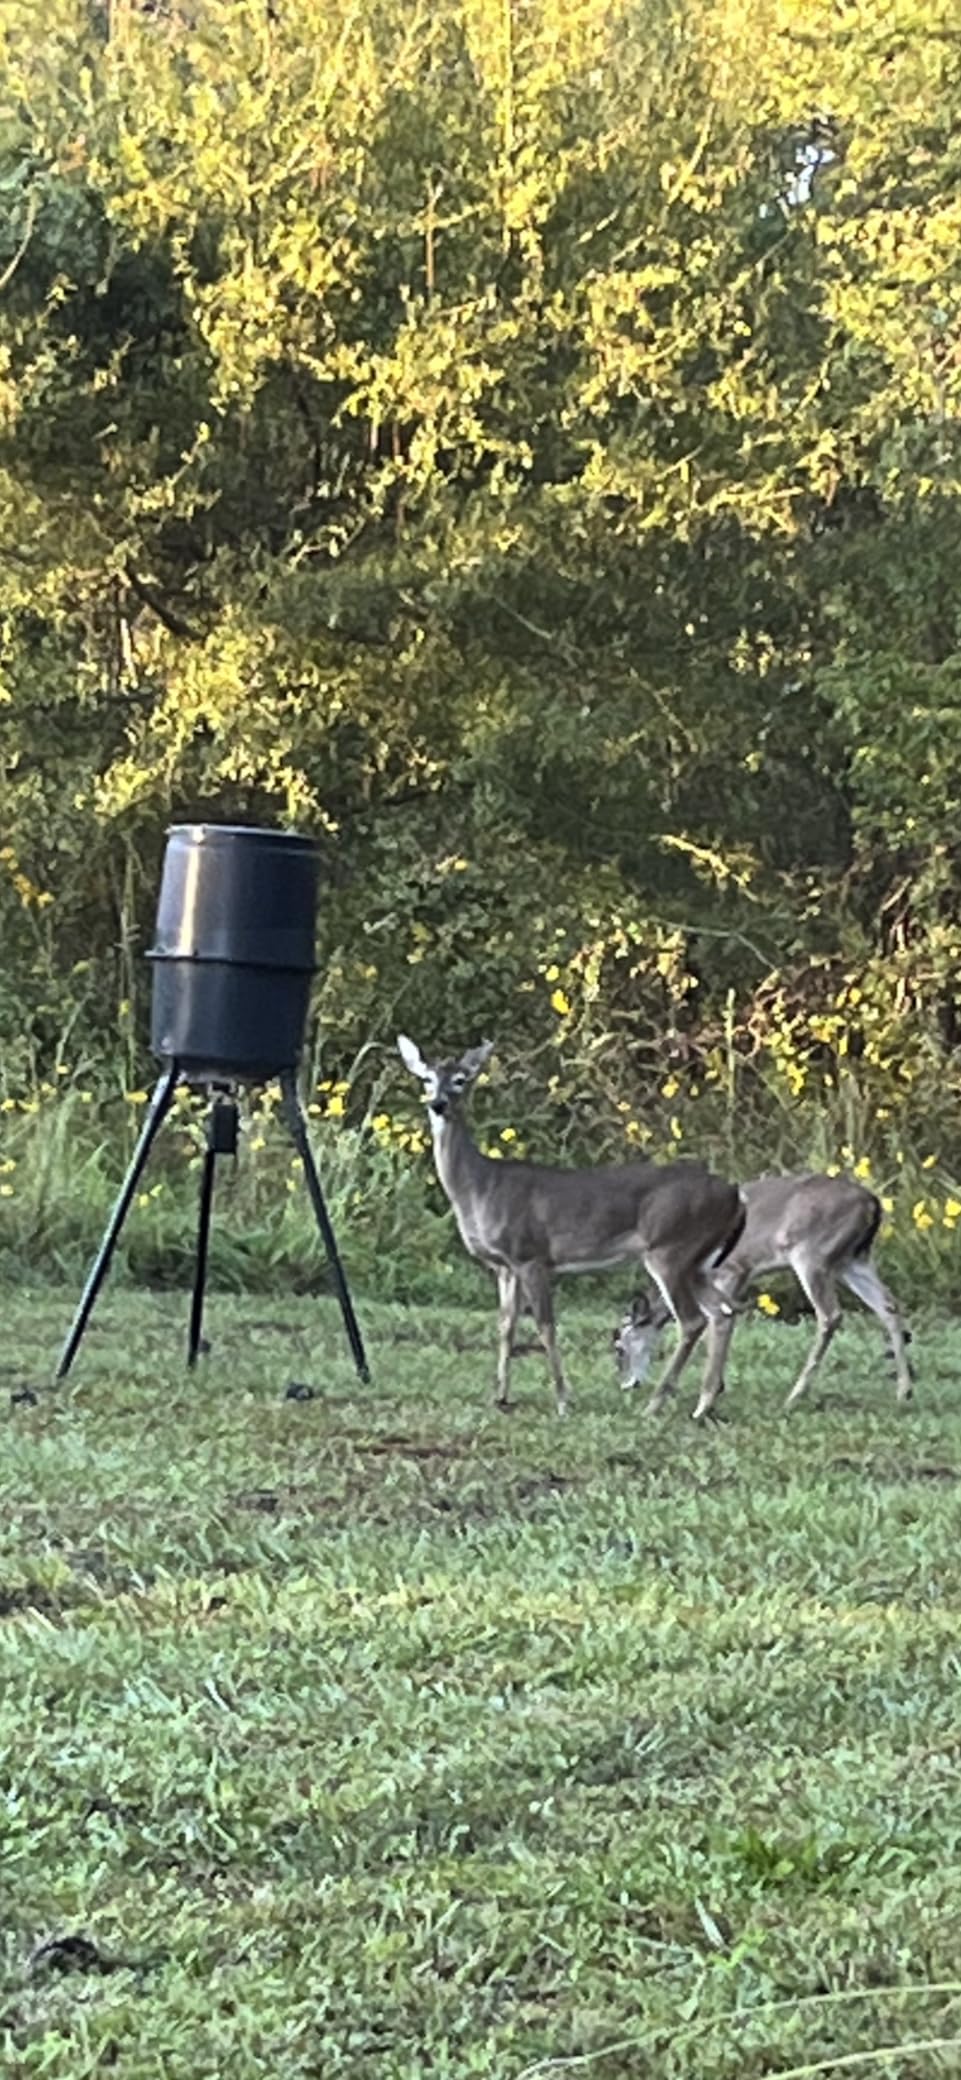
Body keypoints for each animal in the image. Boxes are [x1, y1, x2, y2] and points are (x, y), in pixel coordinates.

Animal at [397, 1035, 747, 1419]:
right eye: (427, 1078)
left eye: (460, 1079)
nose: (438, 1104)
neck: (479, 1187)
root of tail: (735, 1194)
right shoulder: (504, 1266)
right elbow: (505, 1326)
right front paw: (500, 1396)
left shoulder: (530, 1255)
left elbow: (546, 1326)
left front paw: (564, 1400)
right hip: (698, 1262)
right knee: (723, 1313)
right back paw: (703, 1405)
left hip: (670, 1250)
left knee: (693, 1320)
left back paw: (655, 1404)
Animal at [612, 1172, 914, 1413]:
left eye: (619, 1347)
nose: (627, 1384)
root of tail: (873, 1203)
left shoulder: (732, 1269)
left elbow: (716, 1321)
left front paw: (712, 1390)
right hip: (853, 1260)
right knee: (889, 1306)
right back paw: (904, 1391)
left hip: (811, 1254)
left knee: (830, 1315)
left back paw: (795, 1395)